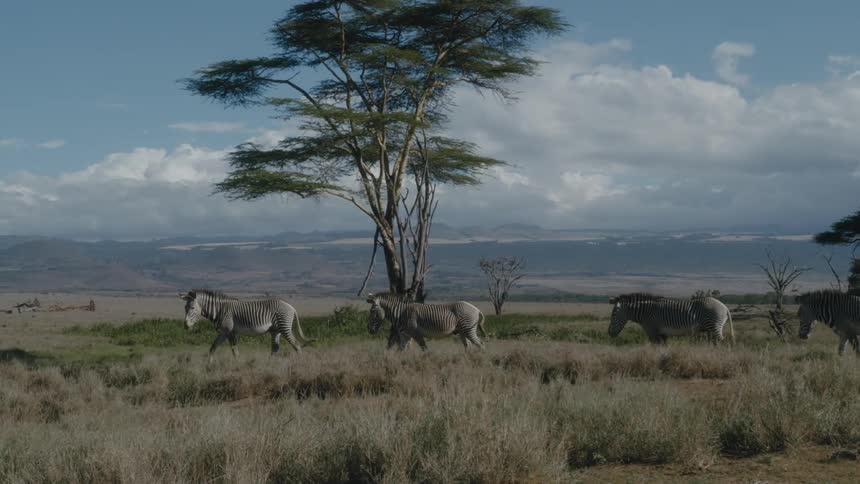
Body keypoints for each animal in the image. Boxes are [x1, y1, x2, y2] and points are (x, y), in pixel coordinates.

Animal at [180, 289, 309, 362]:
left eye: (192, 308)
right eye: (184, 308)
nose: (185, 326)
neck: (219, 310)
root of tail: (291, 306)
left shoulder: (231, 332)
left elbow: (235, 352)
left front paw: (238, 368)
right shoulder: (223, 333)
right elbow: (212, 348)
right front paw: (208, 367)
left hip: (284, 327)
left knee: (296, 345)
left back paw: (300, 364)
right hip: (275, 330)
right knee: (275, 348)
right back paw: (270, 365)